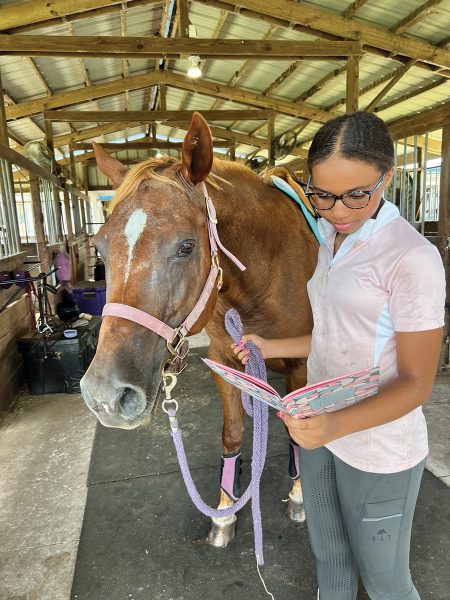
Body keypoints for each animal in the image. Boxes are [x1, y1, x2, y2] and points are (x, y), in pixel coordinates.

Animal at [81, 112, 320, 548]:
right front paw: (225, 509)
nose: (105, 396)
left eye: (187, 247)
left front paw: (298, 496)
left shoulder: (301, 366)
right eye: (101, 248)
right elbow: (232, 433)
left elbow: (297, 433)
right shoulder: (224, 360)